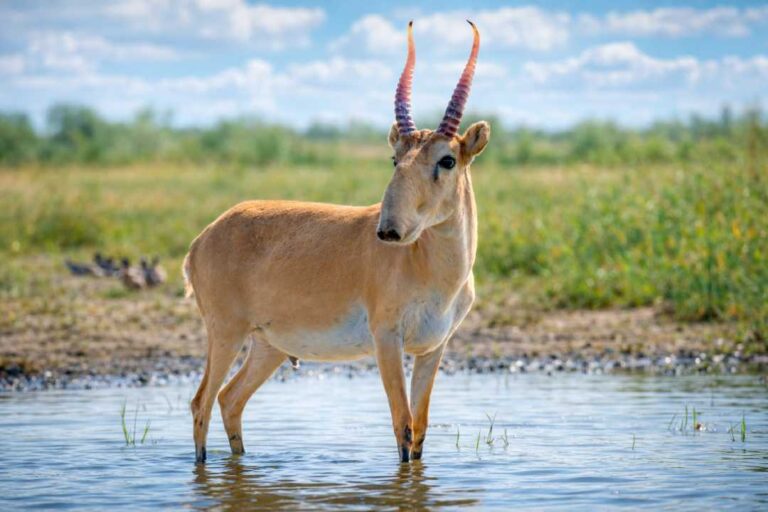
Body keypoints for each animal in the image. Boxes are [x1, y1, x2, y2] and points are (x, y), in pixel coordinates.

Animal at [183, 20, 490, 464]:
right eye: (395, 159)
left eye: (446, 160)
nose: (389, 231)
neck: (431, 268)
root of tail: (204, 237)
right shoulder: (387, 339)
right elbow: (402, 426)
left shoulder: (432, 349)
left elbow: (419, 432)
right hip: (226, 333)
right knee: (202, 401)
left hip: (267, 346)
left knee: (229, 399)